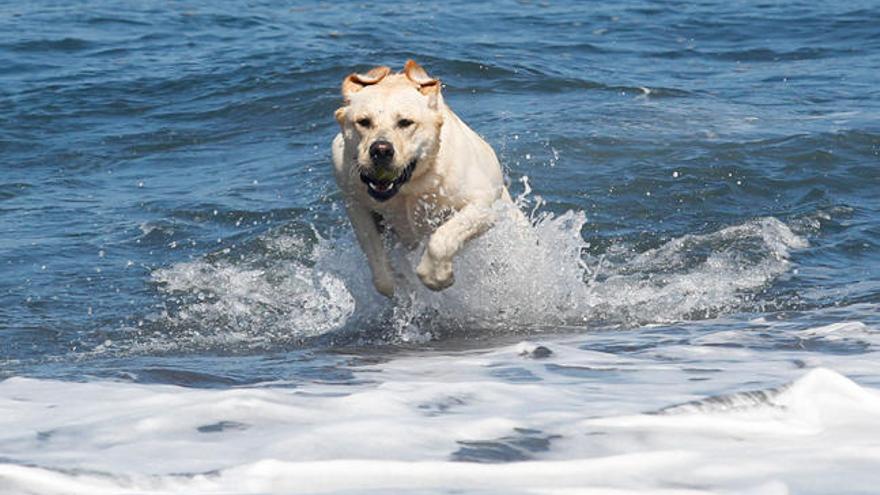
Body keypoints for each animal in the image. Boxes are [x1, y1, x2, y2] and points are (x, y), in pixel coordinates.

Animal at [330, 60, 512, 296]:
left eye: (405, 122)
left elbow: (441, 239)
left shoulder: (481, 207)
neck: (407, 189)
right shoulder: (355, 202)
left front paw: (437, 276)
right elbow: (378, 264)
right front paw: (399, 283)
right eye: (363, 121)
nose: (381, 150)